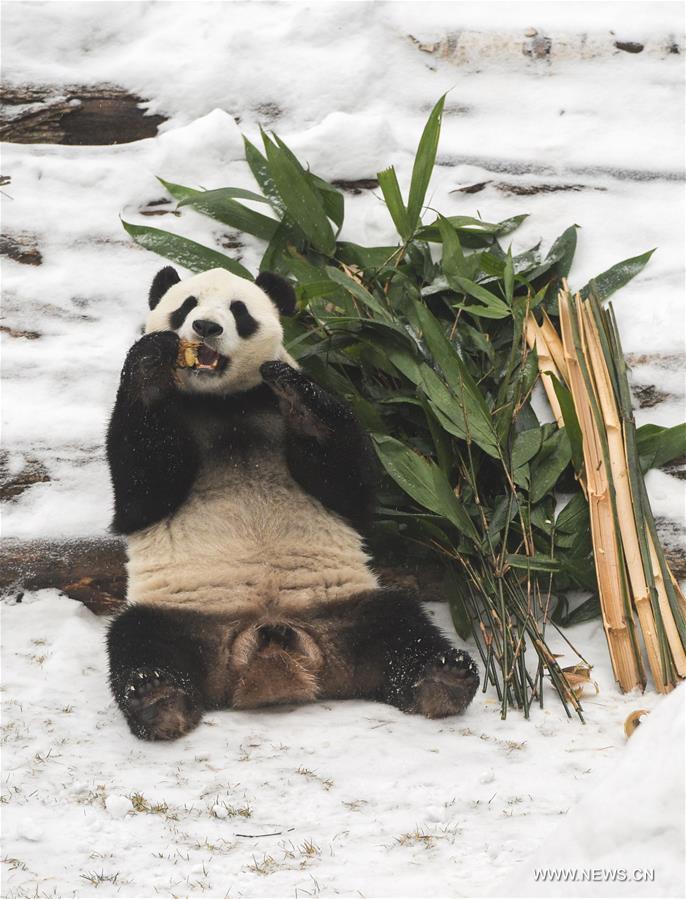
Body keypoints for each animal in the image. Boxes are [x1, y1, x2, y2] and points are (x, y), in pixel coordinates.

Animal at [107, 266, 482, 740]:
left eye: (239, 311)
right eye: (187, 305)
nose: (206, 328)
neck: (223, 401)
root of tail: (268, 646)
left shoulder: (275, 402)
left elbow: (350, 487)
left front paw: (298, 396)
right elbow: (142, 493)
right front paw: (152, 362)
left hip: (347, 608)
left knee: (401, 626)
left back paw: (443, 677)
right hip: (184, 616)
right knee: (139, 637)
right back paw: (157, 698)